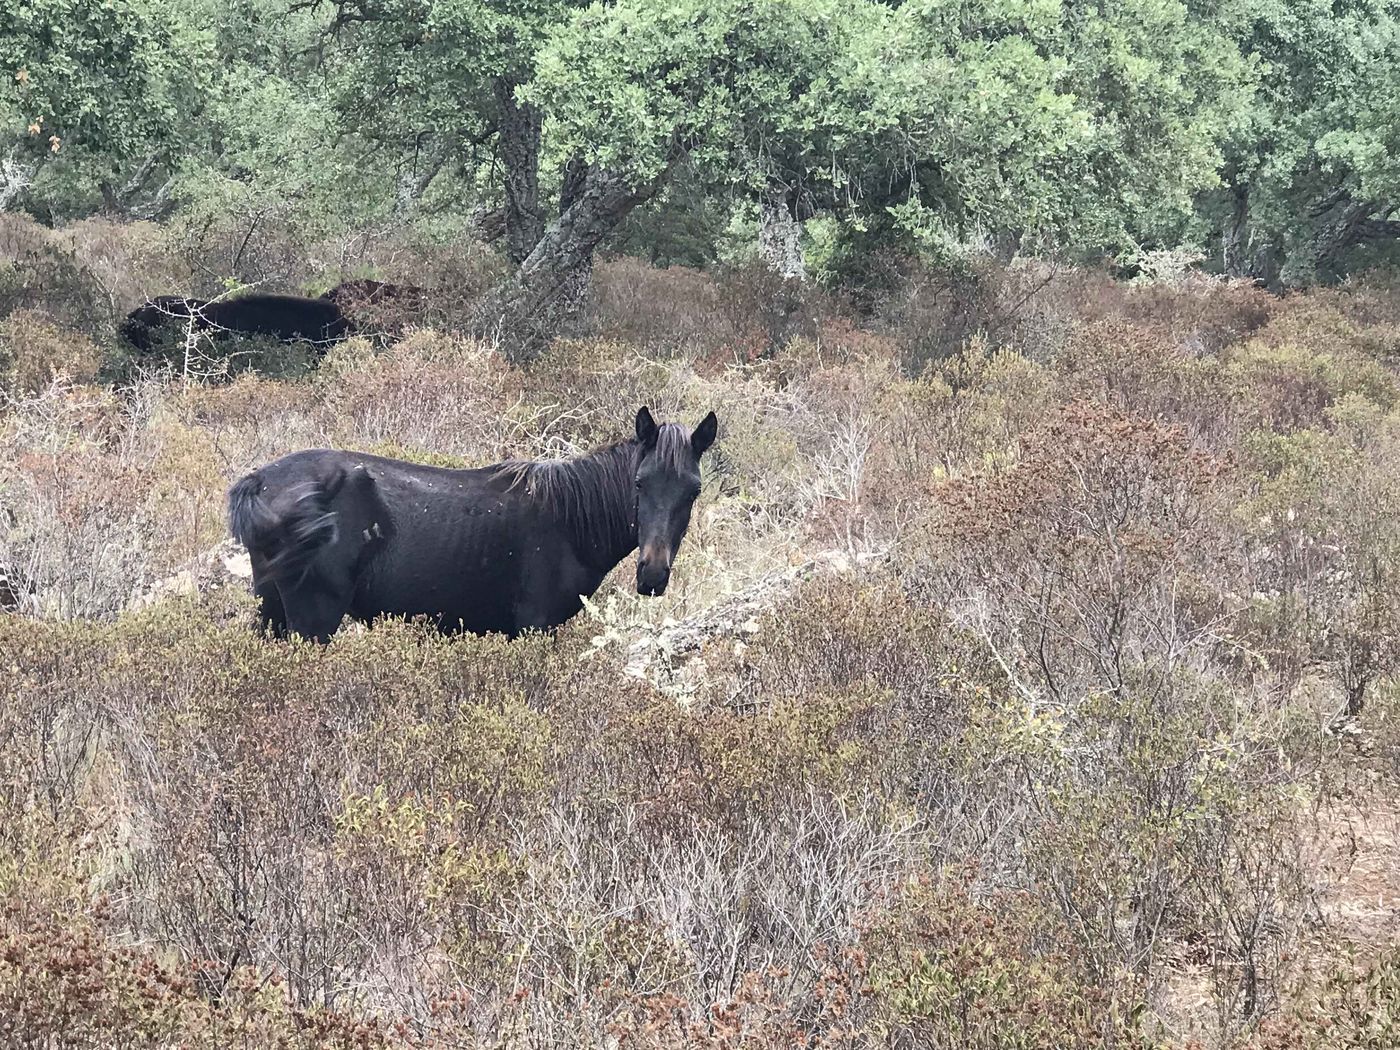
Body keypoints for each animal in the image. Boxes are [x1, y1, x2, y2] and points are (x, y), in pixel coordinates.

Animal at [229, 408, 722, 641]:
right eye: (639, 483)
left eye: (693, 492)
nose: (653, 575)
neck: (569, 522)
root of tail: (261, 479)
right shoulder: (533, 628)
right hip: (314, 617)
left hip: (272, 608)